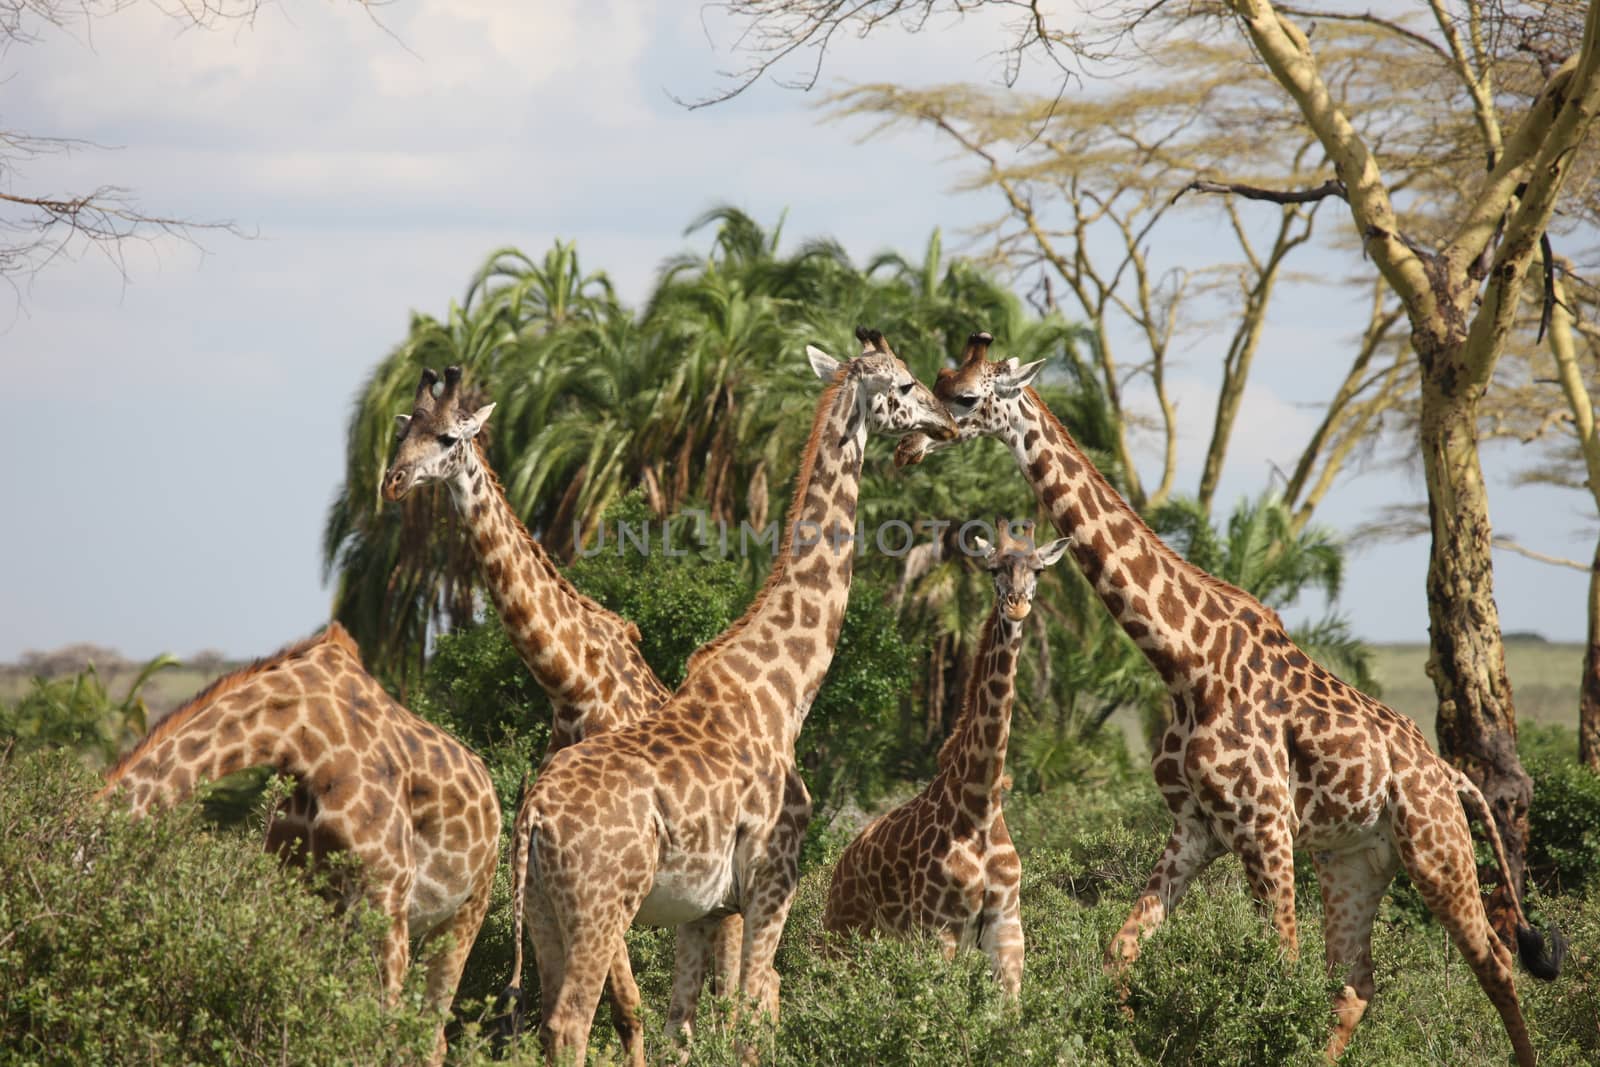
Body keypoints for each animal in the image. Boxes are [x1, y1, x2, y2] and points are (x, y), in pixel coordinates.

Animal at [96, 620, 496, 1062]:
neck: (301, 736)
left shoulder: (388, 891)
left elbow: (383, 1032)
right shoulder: (299, 896)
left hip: (469, 906)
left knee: (431, 1032)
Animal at [380, 367, 742, 1062]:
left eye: (447, 437)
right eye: (402, 431)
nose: (392, 481)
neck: (571, 682)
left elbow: (626, 1005)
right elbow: (618, 1004)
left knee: (734, 990)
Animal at [518, 329, 953, 1062]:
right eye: (902, 384)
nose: (946, 420)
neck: (784, 692)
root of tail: (534, 816)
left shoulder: (705, 908)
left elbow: (683, 1028)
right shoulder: (774, 880)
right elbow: (752, 1011)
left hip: (542, 912)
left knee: (549, 1021)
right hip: (601, 906)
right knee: (570, 1021)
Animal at [819, 521, 1068, 998]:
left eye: (1039, 570)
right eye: (993, 568)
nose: (1017, 605)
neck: (981, 805)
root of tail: (841, 863)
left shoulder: (1007, 933)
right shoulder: (940, 931)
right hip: (844, 935)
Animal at [896, 334, 1568, 1067]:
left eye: (965, 397)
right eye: (931, 381)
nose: (907, 446)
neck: (1185, 661)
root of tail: (1449, 775)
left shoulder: (1265, 825)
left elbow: (1278, 970)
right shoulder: (1198, 828)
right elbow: (1118, 952)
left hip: (1435, 848)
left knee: (1496, 961)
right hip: (1356, 858)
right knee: (1355, 982)